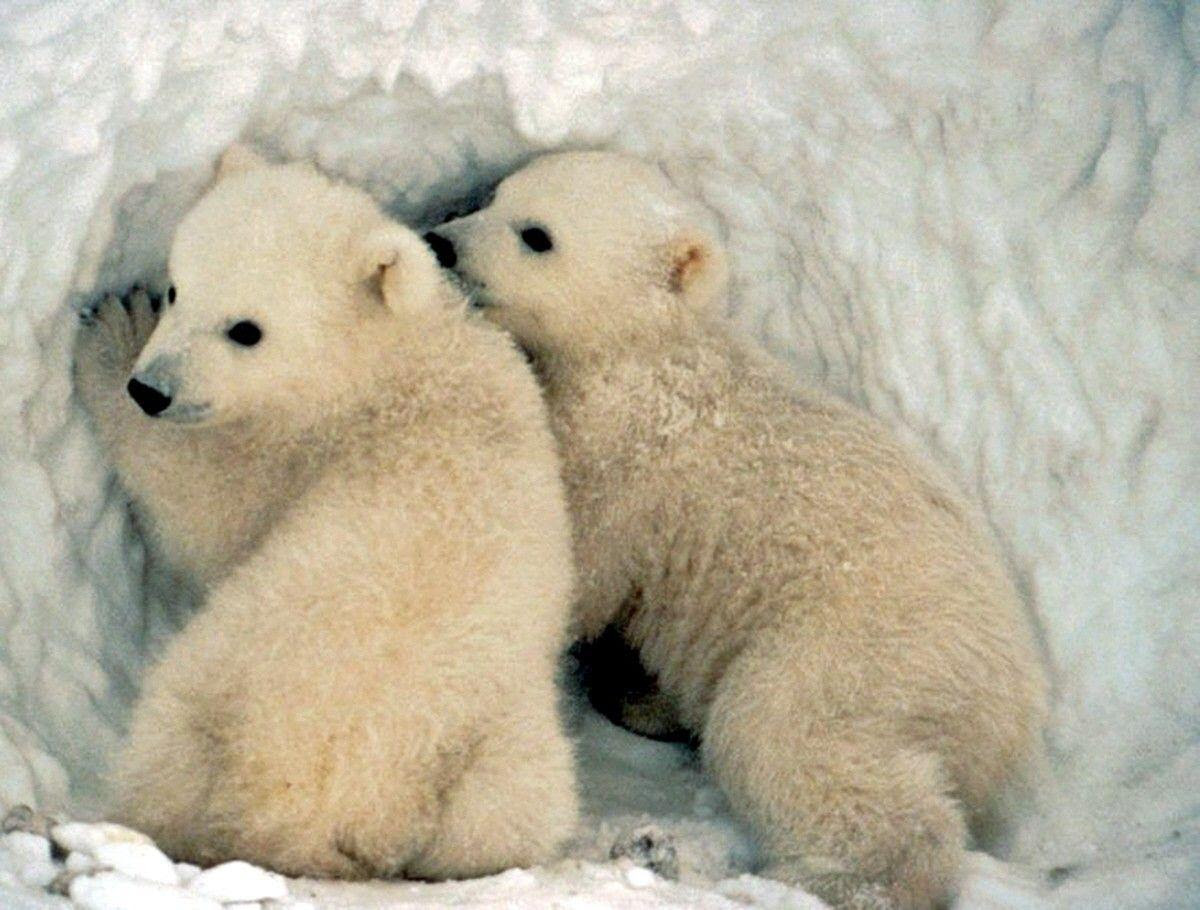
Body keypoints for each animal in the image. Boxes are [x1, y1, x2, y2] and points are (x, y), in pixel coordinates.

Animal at [72, 145, 579, 880]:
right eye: (178, 288)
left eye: (246, 330)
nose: (150, 388)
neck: (387, 361)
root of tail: (320, 812)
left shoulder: (292, 449)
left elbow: (204, 510)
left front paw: (110, 334)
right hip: (494, 756)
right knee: (509, 818)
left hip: (217, 686)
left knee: (164, 750)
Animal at [425, 150, 1048, 910]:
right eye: (493, 196)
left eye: (537, 234)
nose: (442, 242)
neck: (647, 353)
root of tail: (1014, 707)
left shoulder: (624, 457)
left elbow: (576, 568)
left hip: (866, 650)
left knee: (787, 734)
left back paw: (821, 877)